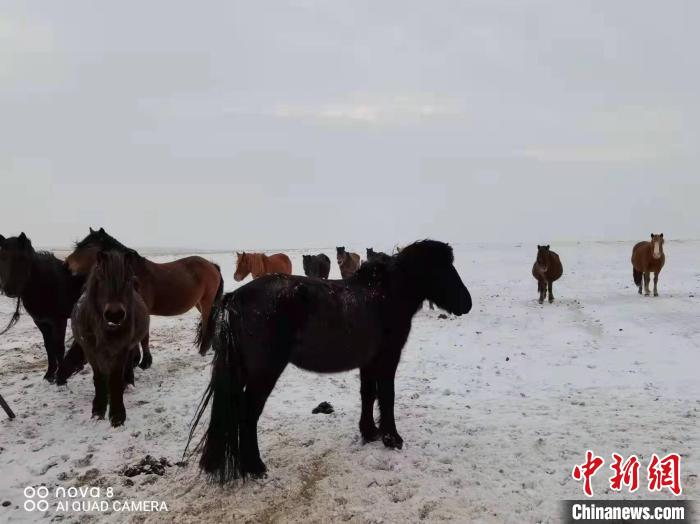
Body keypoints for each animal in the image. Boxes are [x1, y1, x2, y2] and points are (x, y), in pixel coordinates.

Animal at [0, 233, 85, 380]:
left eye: (22, 258)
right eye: (2, 257)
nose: (9, 290)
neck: (44, 283)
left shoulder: (59, 321)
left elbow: (59, 347)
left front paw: (60, 375)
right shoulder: (41, 322)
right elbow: (49, 347)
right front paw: (49, 374)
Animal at [59, 229, 224, 384]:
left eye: (88, 246)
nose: (66, 265)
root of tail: (211, 265)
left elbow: (144, 337)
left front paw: (144, 362)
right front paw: (135, 361)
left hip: (206, 301)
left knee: (207, 322)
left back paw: (203, 349)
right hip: (198, 303)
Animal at [72, 252, 149, 428]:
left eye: (127, 278)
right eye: (101, 276)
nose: (115, 315)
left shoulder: (120, 350)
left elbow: (115, 379)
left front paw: (117, 415)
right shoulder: (91, 352)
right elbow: (99, 378)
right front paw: (98, 411)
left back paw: (129, 382)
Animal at [187, 239, 470, 482]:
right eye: (444, 269)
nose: (466, 304)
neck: (383, 295)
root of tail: (235, 298)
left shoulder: (368, 362)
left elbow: (368, 394)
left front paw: (370, 432)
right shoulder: (388, 359)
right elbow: (387, 396)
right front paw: (392, 438)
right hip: (264, 373)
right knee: (248, 413)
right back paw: (255, 467)